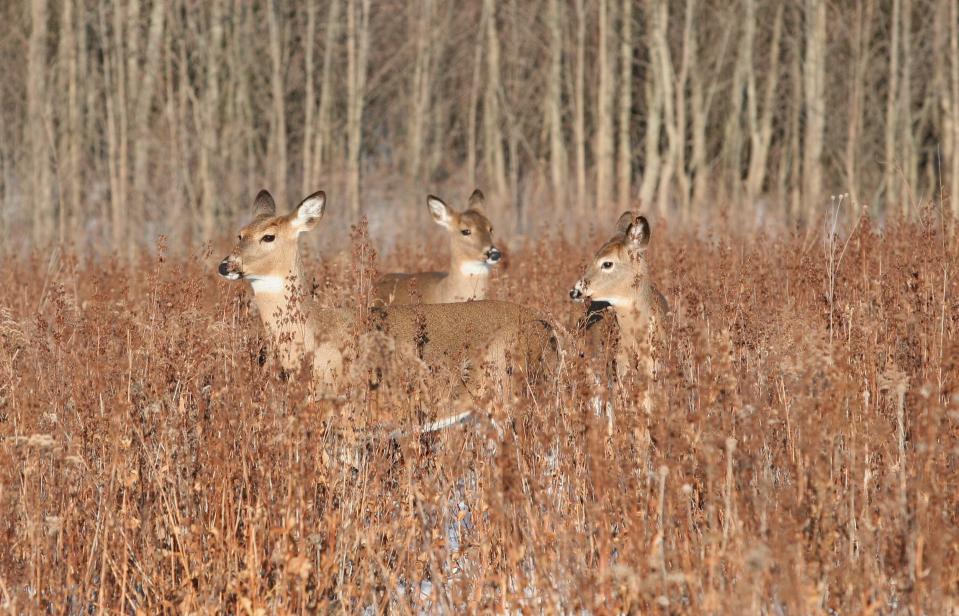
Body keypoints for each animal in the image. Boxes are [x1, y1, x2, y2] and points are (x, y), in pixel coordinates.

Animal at [218, 188, 560, 434]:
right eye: (239, 234)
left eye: (269, 236)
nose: (226, 265)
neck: (316, 336)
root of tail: (546, 327)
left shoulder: (351, 414)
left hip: (510, 393)